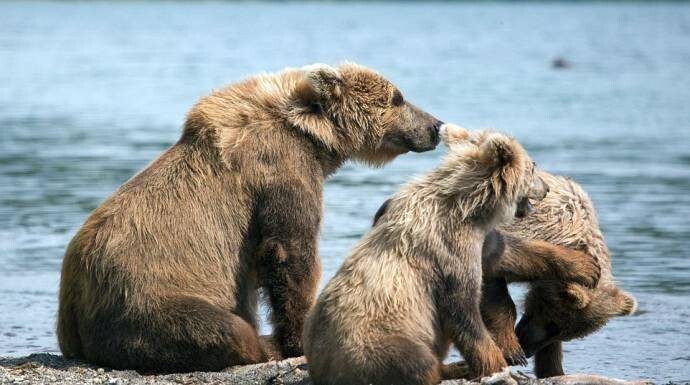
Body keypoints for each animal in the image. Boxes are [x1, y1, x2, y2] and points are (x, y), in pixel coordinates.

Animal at [57, 63, 440, 372]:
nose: (436, 125)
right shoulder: (279, 168)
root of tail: (72, 316)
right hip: (144, 300)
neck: (310, 135)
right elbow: (289, 250)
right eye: (397, 97)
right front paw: (297, 340)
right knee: (223, 329)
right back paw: (262, 344)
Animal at [300, 127, 548, 382]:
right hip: (378, 340)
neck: (469, 209)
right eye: (533, 166)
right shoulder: (449, 250)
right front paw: (497, 364)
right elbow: (463, 312)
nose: (546, 188)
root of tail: (320, 366)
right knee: (416, 362)